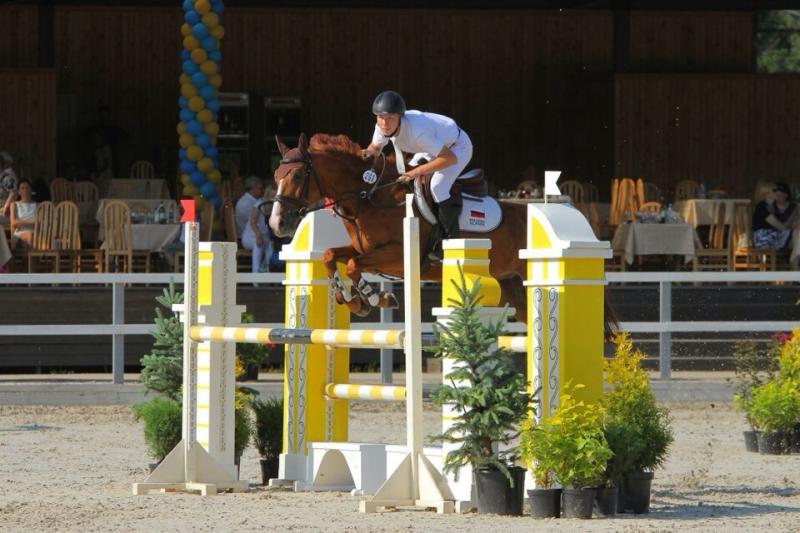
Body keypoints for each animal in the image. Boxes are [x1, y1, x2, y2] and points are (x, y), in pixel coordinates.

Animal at [269, 133, 614, 332]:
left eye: (297, 175)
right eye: (276, 175)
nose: (276, 225)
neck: (370, 197)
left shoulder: (397, 257)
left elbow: (353, 265)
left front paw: (374, 298)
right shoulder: (365, 250)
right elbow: (331, 256)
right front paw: (354, 300)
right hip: (513, 286)